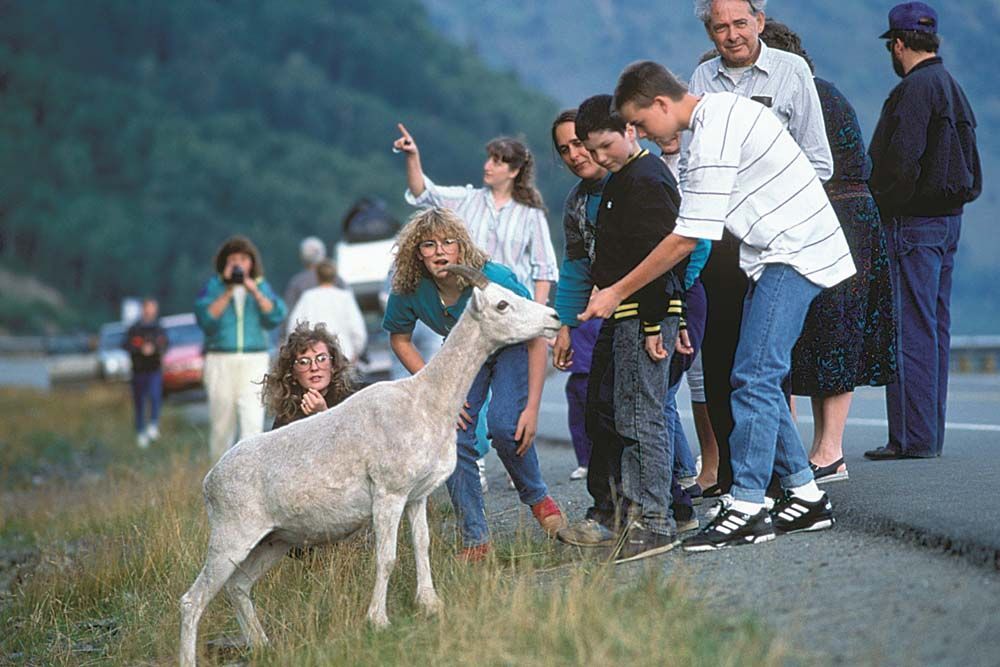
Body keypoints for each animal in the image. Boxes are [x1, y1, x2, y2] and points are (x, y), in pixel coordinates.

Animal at [179, 264, 561, 666]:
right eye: (502, 304)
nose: (553, 319)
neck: (425, 403)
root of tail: (209, 482)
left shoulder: (416, 497)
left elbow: (422, 545)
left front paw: (430, 604)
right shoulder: (389, 495)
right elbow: (387, 557)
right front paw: (378, 620)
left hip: (273, 541)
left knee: (238, 586)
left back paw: (265, 645)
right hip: (231, 538)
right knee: (193, 599)